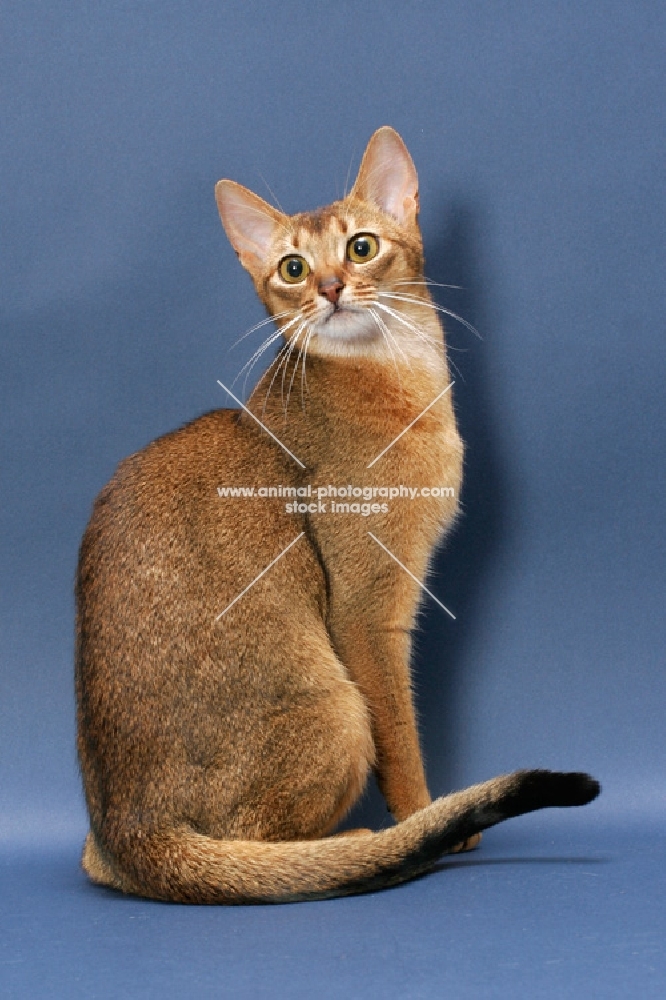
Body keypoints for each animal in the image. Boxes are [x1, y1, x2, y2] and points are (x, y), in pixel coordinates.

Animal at [76, 129, 596, 904]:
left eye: (360, 247)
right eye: (293, 268)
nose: (329, 288)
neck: (397, 377)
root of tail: (136, 832)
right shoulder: (367, 610)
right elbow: (402, 737)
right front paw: (427, 817)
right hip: (339, 708)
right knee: (260, 844)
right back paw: (361, 845)